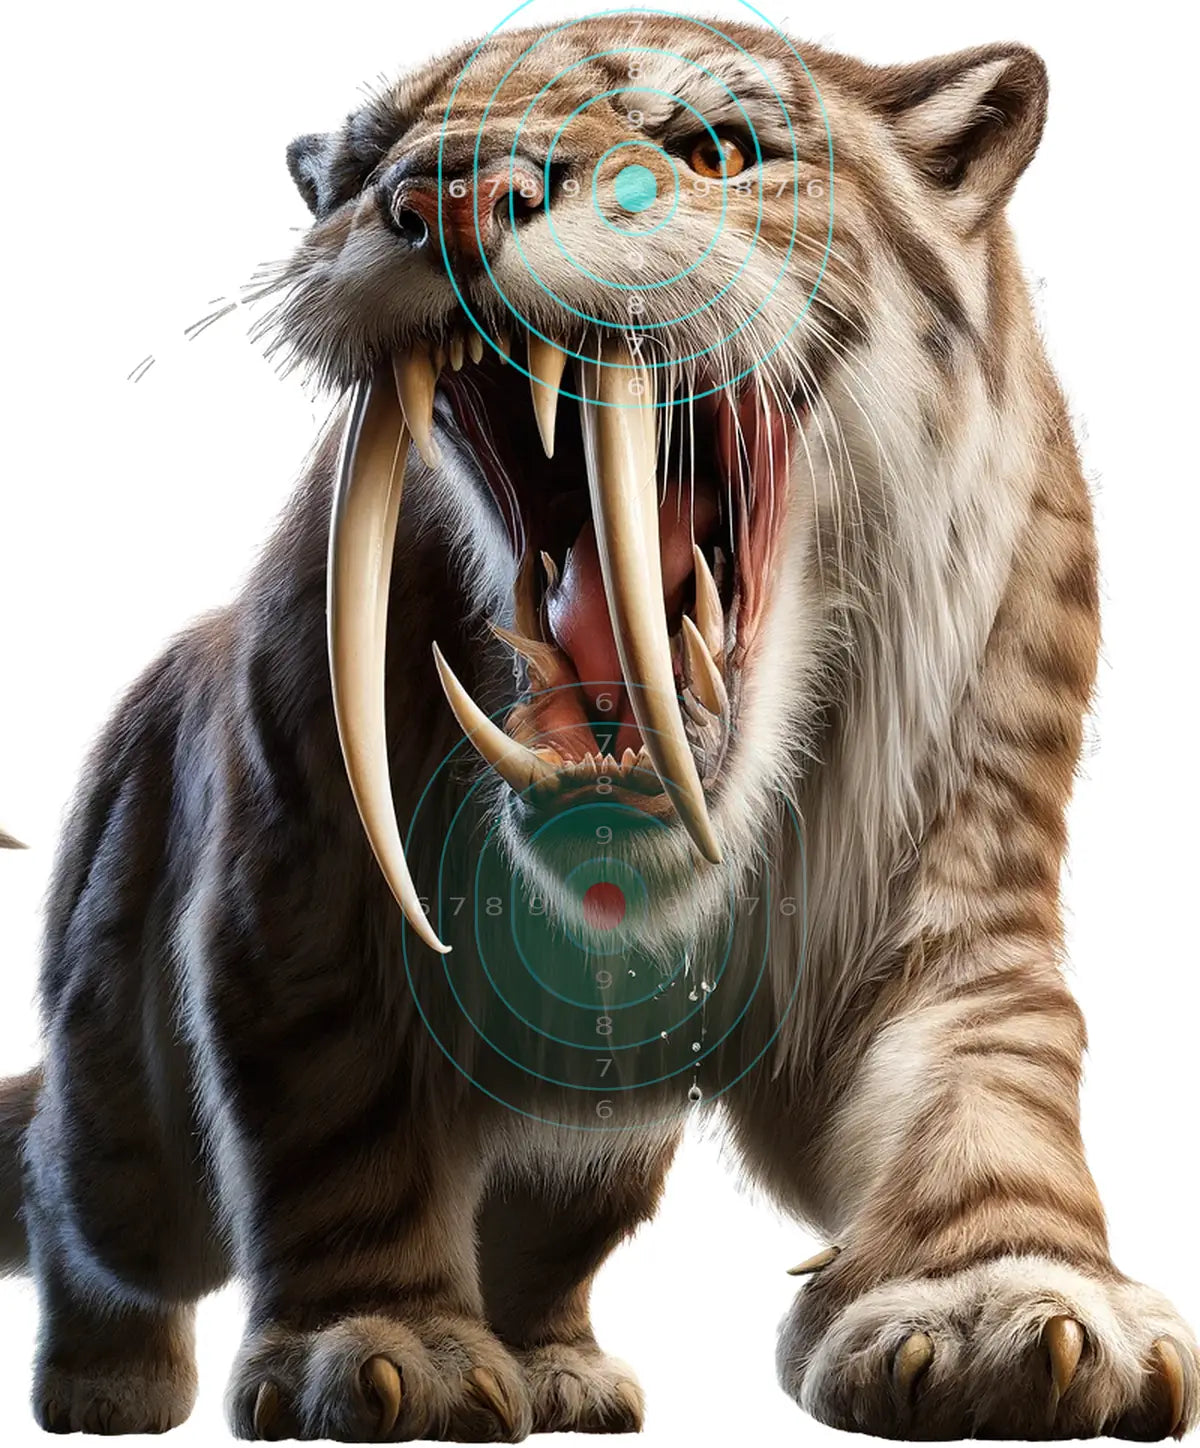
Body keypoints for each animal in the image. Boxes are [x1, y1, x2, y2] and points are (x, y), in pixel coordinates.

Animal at [0, 11, 1194, 1442]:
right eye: (360, 165)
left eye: (714, 146)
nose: (445, 195)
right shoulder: (298, 901)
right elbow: (337, 1120)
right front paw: (379, 1344)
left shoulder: (956, 879)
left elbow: (988, 1072)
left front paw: (1003, 1300)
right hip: (129, 1123)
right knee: (81, 1200)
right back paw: (104, 1384)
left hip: (600, 1152)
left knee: (539, 1235)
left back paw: (562, 1371)